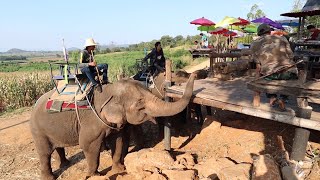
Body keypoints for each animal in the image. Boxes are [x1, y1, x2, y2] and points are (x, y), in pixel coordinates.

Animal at [30, 73, 195, 180]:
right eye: (140, 103)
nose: (193, 74)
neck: (110, 91)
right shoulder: (92, 122)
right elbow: (87, 145)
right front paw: (94, 175)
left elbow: (118, 141)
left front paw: (120, 169)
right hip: (38, 130)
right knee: (45, 152)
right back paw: (50, 177)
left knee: (57, 147)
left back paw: (65, 163)